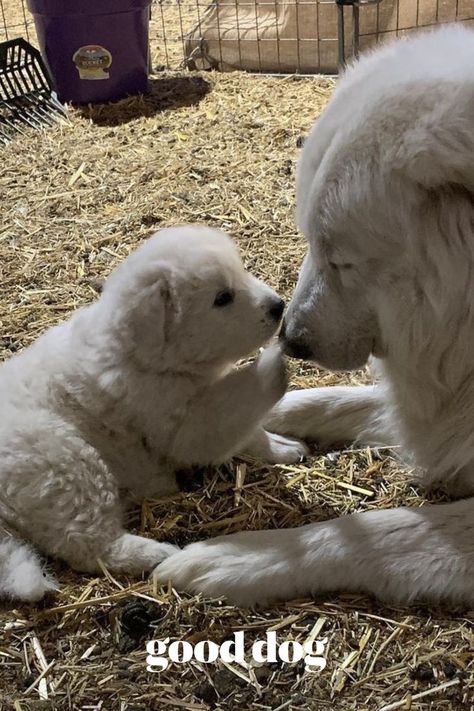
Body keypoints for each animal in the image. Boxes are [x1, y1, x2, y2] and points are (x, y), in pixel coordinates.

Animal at [0, 225, 308, 604]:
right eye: (222, 298)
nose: (279, 306)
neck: (146, 356)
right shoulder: (184, 424)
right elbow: (232, 409)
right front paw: (274, 360)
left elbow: (251, 431)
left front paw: (282, 447)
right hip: (67, 465)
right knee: (90, 546)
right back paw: (159, 553)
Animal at [156, 26, 474, 608]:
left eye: (341, 260)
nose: (290, 338)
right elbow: (336, 401)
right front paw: (250, 408)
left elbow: (385, 532)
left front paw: (246, 556)